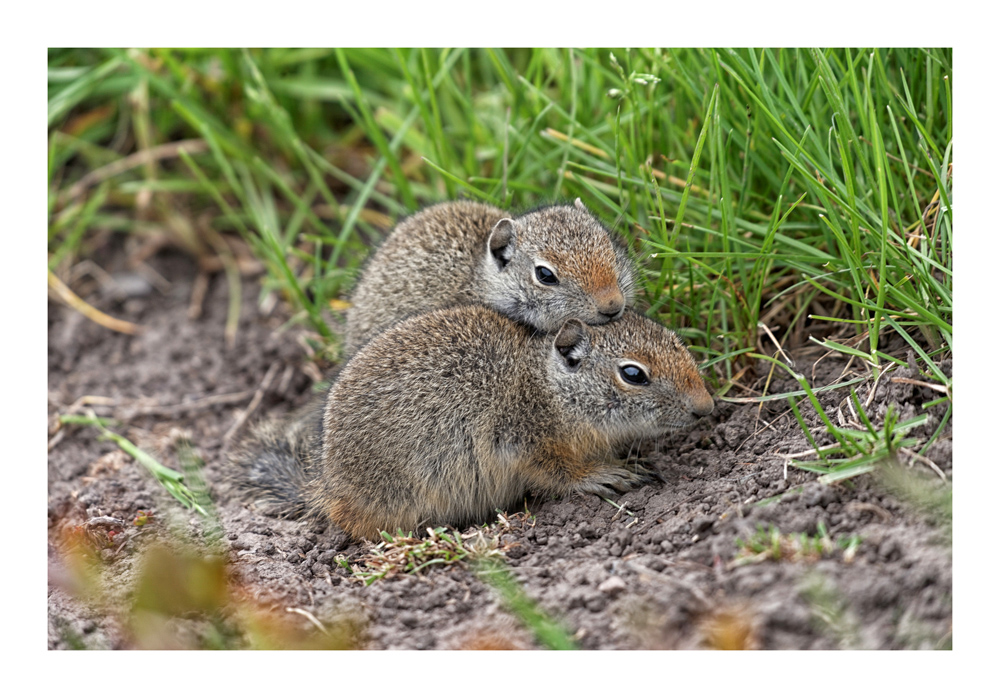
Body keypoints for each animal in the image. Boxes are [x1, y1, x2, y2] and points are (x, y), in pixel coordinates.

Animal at [235, 304, 716, 540]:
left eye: (676, 341)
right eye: (633, 374)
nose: (706, 407)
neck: (548, 388)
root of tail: (327, 486)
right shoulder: (526, 442)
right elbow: (562, 473)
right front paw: (607, 474)